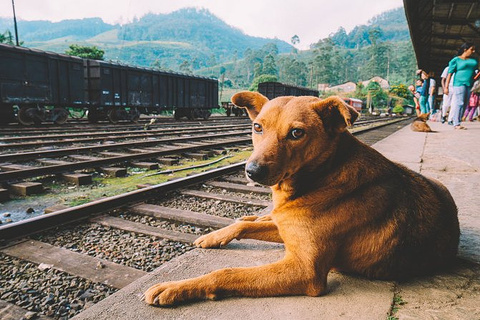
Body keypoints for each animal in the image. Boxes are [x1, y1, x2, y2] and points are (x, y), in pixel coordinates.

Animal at [143, 92, 462, 304]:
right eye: (257, 127)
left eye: (297, 133)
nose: (251, 171)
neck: (321, 177)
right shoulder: (286, 228)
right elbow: (244, 226)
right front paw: (214, 236)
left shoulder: (305, 270)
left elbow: (226, 273)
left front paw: (176, 288)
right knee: (254, 218)